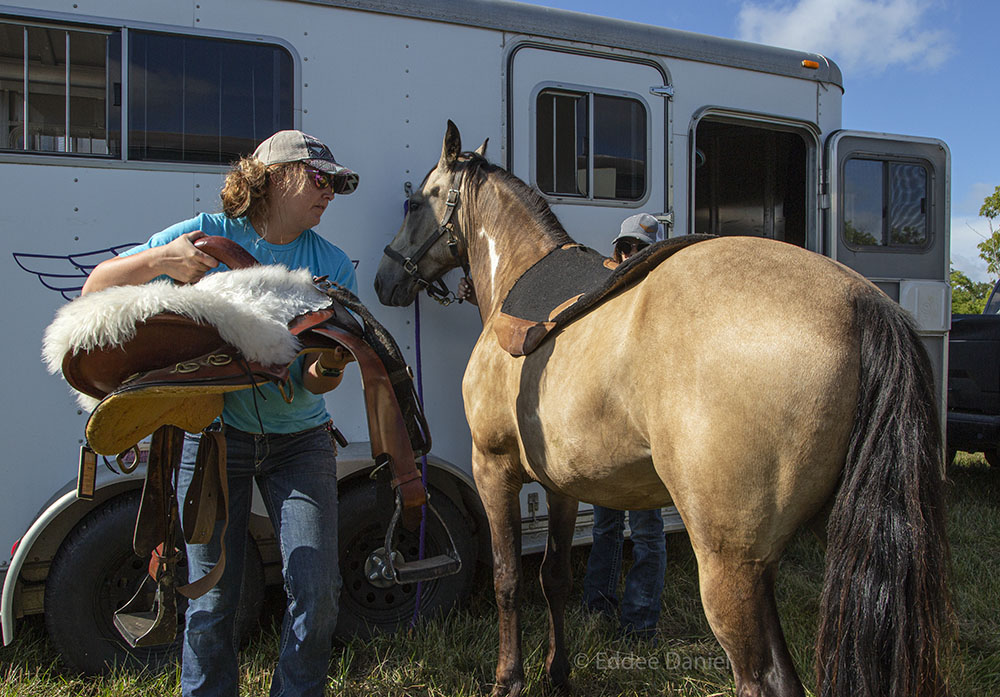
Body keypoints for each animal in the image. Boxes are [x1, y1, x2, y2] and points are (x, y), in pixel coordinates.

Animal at [374, 122, 944, 696]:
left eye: (413, 203)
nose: (383, 279)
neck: (517, 287)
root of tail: (860, 304)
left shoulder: (493, 468)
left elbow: (508, 580)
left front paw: (508, 680)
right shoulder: (560, 485)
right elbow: (554, 577)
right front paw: (557, 673)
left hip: (730, 564)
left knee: (764, 678)